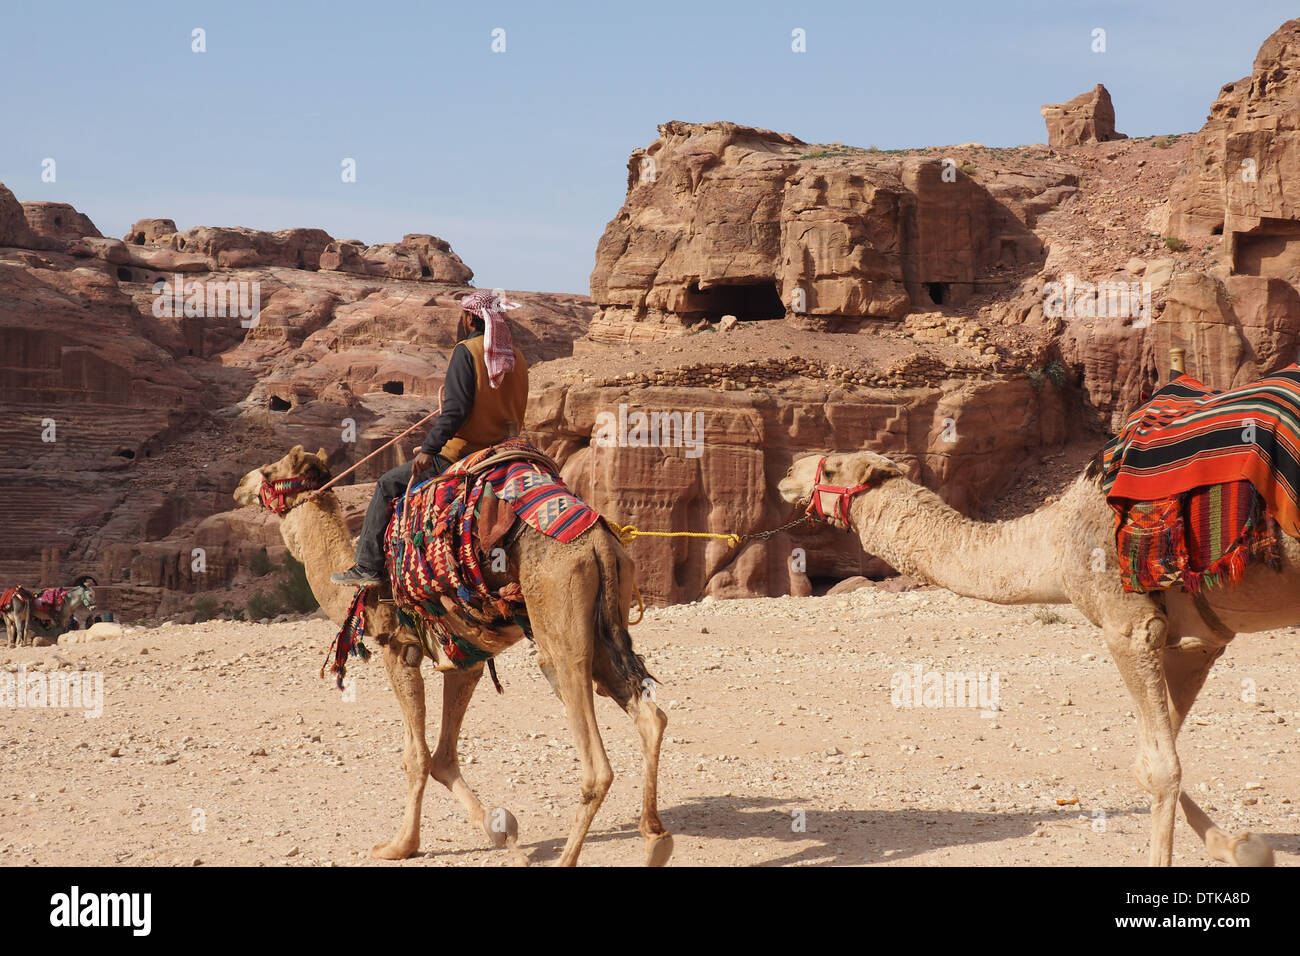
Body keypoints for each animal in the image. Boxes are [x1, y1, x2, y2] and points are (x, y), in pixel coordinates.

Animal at [233, 447, 676, 868]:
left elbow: (416, 757)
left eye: (271, 472)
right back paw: (655, 838)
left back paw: (570, 857)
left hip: (561, 625)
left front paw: (400, 845)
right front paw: (499, 831)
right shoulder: (467, 656)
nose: (240, 485)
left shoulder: (400, 648)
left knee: (594, 756)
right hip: (605, 627)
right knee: (649, 714)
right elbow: (443, 758)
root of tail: (600, 541)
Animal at [774, 447, 1284, 868]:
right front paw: (1241, 847)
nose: (786, 473)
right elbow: (1151, 756)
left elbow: (1160, 767)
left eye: (833, 468)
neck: (1055, 543)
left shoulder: (1130, 624)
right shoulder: (1199, 638)